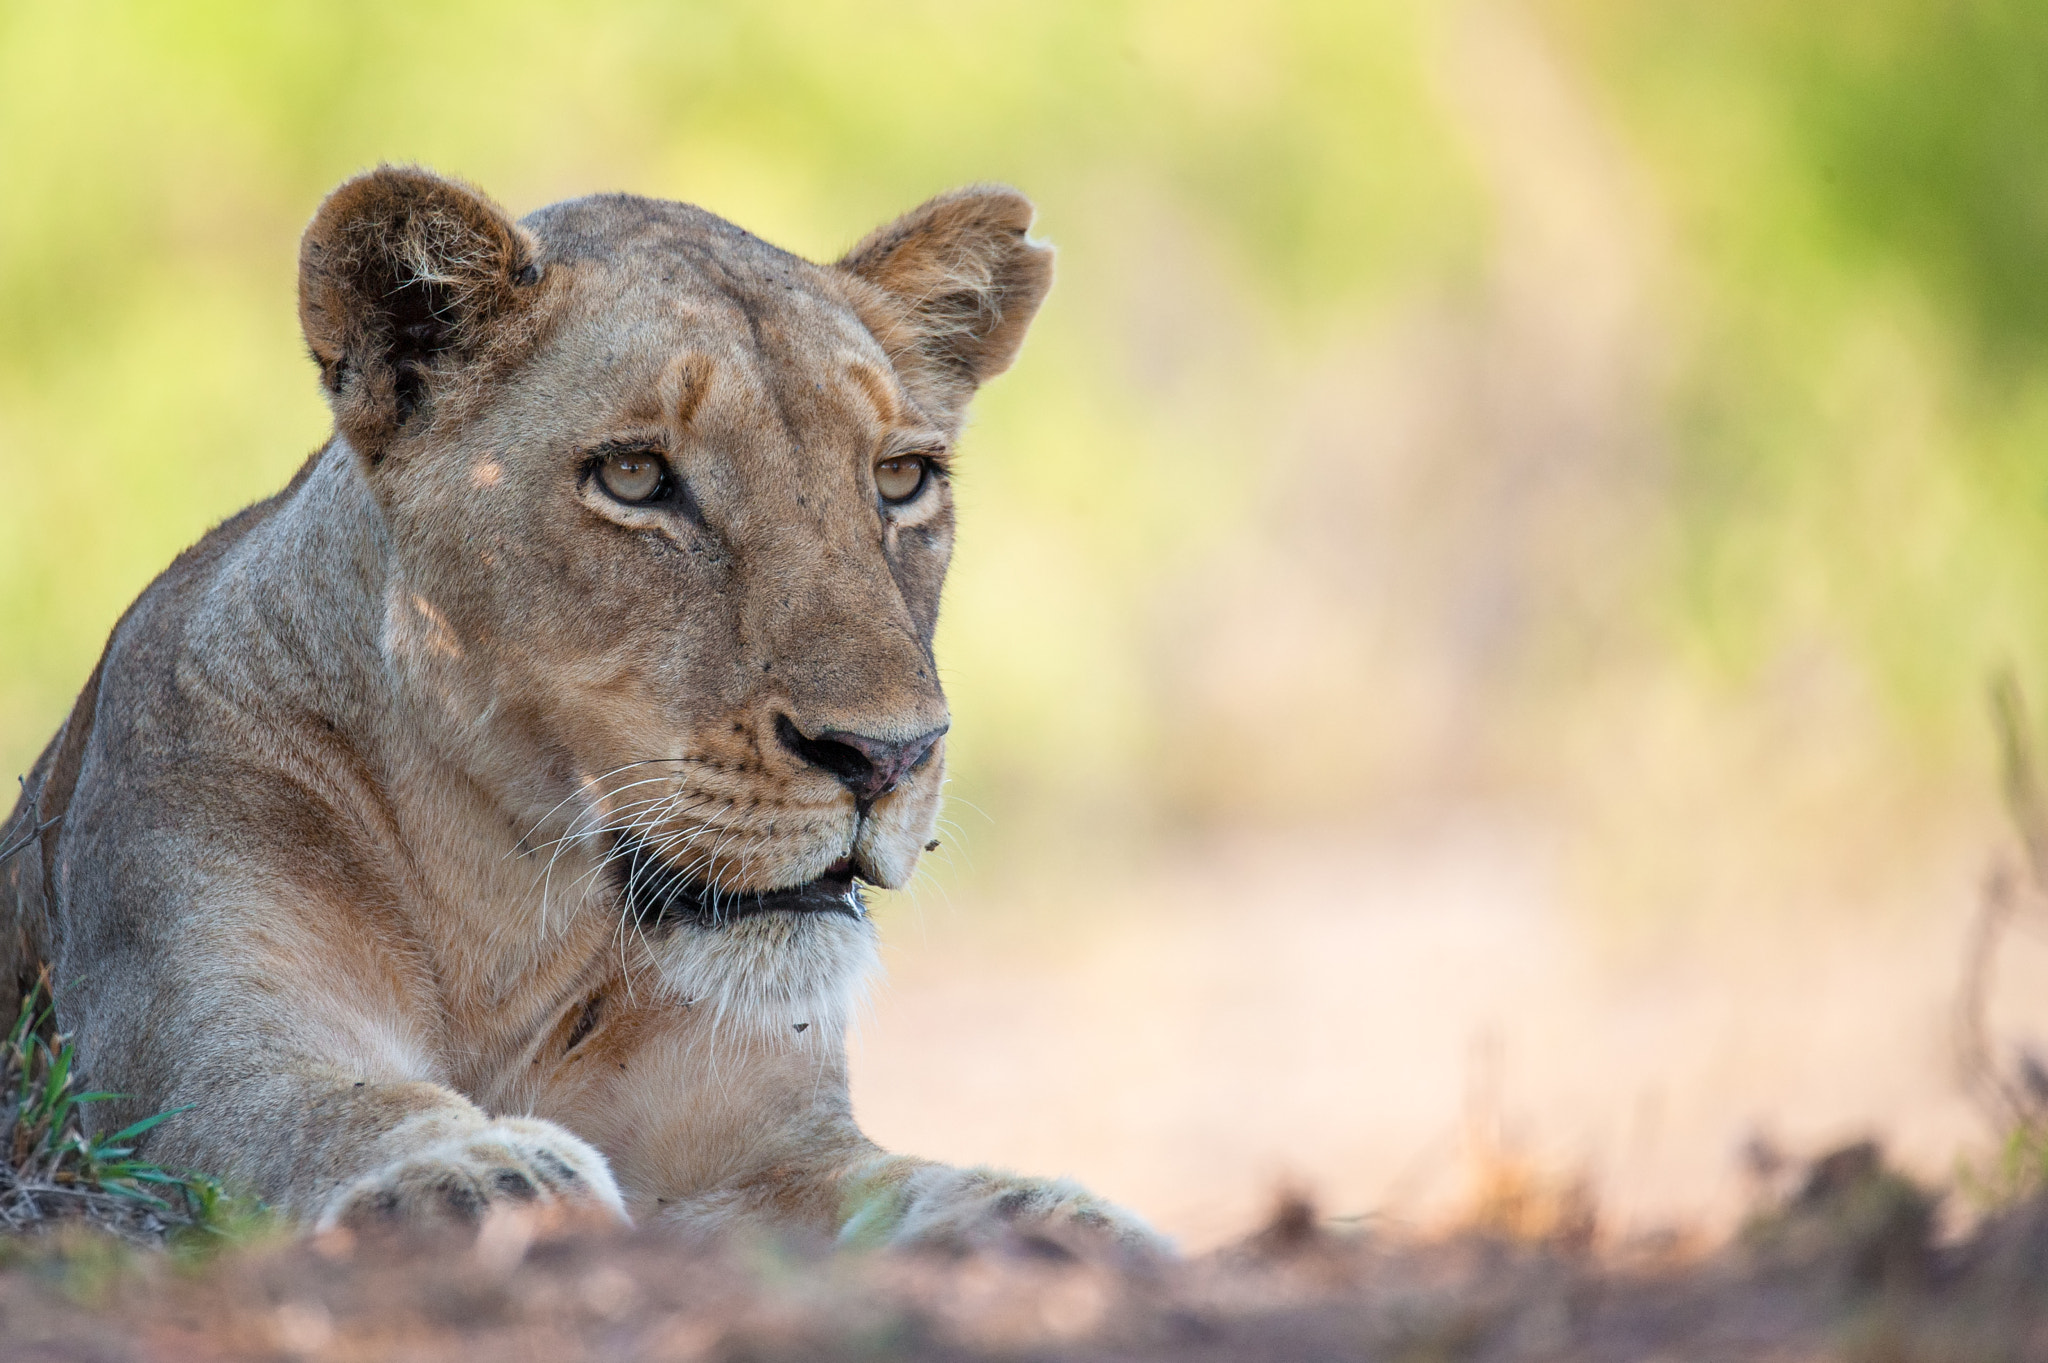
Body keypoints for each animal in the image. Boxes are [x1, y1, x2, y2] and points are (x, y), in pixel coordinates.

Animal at [0, 166, 1155, 1250]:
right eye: (636, 477)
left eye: (902, 477)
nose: (888, 757)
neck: (507, 908)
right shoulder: (179, 1044)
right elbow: (325, 1105)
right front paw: (480, 1170)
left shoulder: (759, 1142)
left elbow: (921, 1192)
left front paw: (1071, 1220)